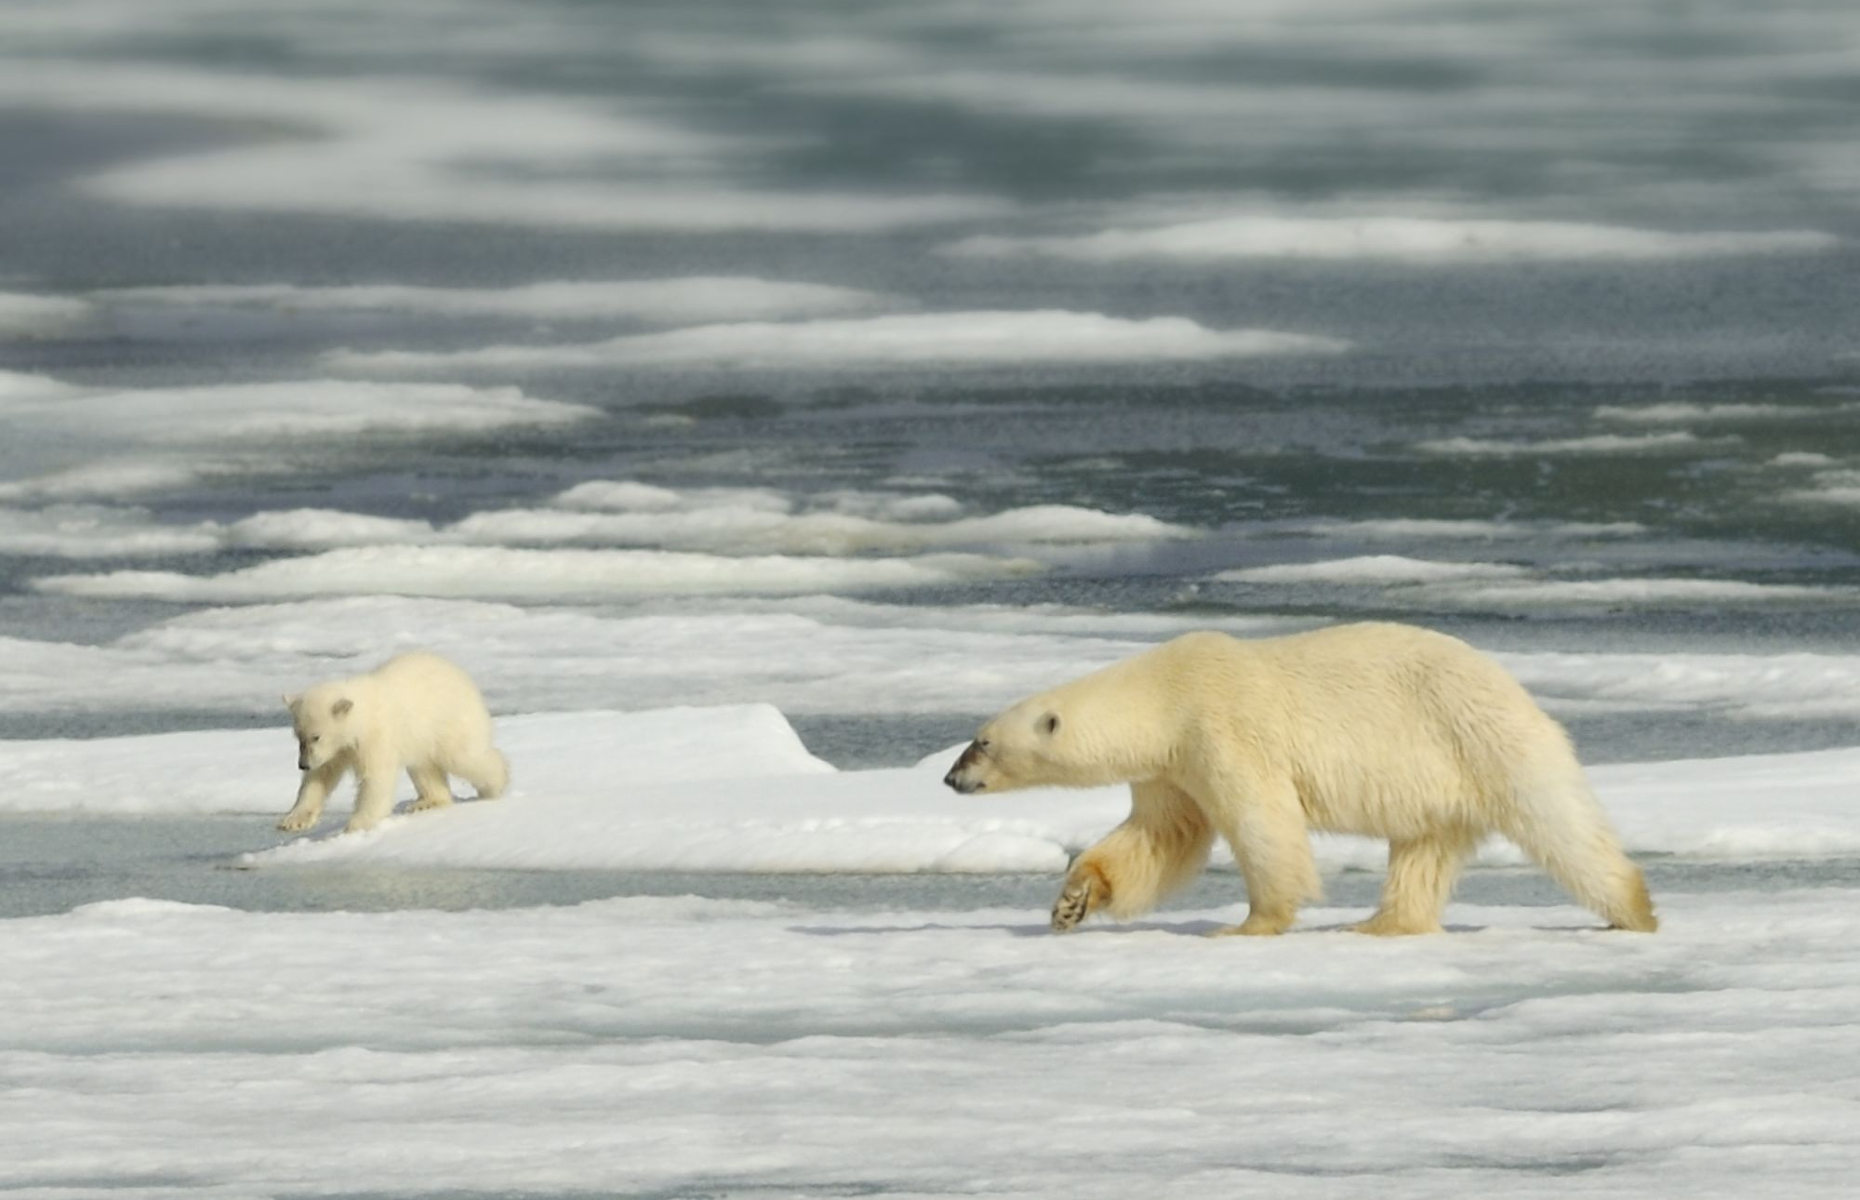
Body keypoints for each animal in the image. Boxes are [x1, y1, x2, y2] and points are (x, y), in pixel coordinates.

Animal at [279, 654, 509, 833]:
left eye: (316, 736)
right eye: (298, 736)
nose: (303, 765)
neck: (362, 715)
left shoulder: (376, 738)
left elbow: (376, 779)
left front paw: (356, 825)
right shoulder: (338, 750)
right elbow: (320, 777)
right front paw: (292, 821)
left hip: (450, 720)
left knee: (463, 757)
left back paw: (495, 786)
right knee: (424, 767)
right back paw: (427, 802)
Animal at [944, 621, 1659, 941]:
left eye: (983, 741)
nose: (951, 777)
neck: (1165, 694)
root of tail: (1515, 687)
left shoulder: (1222, 728)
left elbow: (1263, 822)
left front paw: (1248, 925)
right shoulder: (1171, 767)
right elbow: (1160, 835)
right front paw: (1072, 901)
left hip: (1479, 737)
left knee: (1557, 823)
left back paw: (1632, 910)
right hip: (1439, 780)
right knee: (1424, 850)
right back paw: (1381, 924)